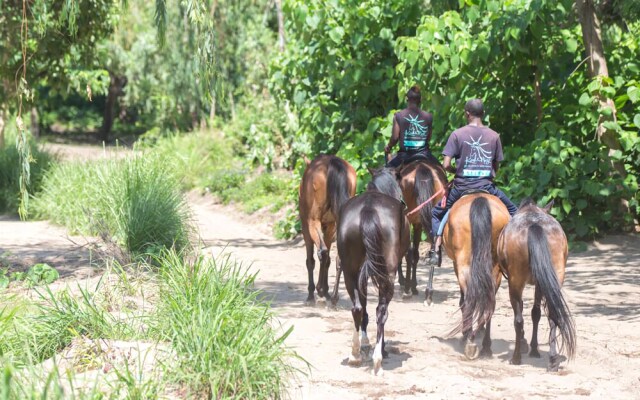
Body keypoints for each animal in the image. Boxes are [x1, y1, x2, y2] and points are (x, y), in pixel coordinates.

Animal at [298, 155, 358, 304]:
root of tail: (332, 161)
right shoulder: (330, 226)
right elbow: (328, 260)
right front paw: (324, 291)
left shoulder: (306, 226)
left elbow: (311, 260)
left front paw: (314, 292)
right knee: (338, 258)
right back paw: (334, 298)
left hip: (312, 222)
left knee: (322, 252)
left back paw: (318, 293)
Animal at [336, 166, 410, 376]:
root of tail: (368, 209)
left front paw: (365, 344)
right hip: (388, 273)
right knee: (381, 311)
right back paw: (378, 359)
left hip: (350, 270)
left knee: (357, 308)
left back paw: (355, 355)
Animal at [444, 193, 510, 360]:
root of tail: (479, 199)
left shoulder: (455, 265)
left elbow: (463, 301)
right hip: (494, 267)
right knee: (489, 304)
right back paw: (485, 346)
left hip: (463, 263)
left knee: (468, 301)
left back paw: (469, 340)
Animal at [498, 198, 576, 370]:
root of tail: (534, 225)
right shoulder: (541, 283)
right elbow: (536, 314)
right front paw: (534, 349)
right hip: (555, 277)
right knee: (553, 316)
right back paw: (553, 360)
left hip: (515, 283)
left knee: (518, 320)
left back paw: (516, 358)